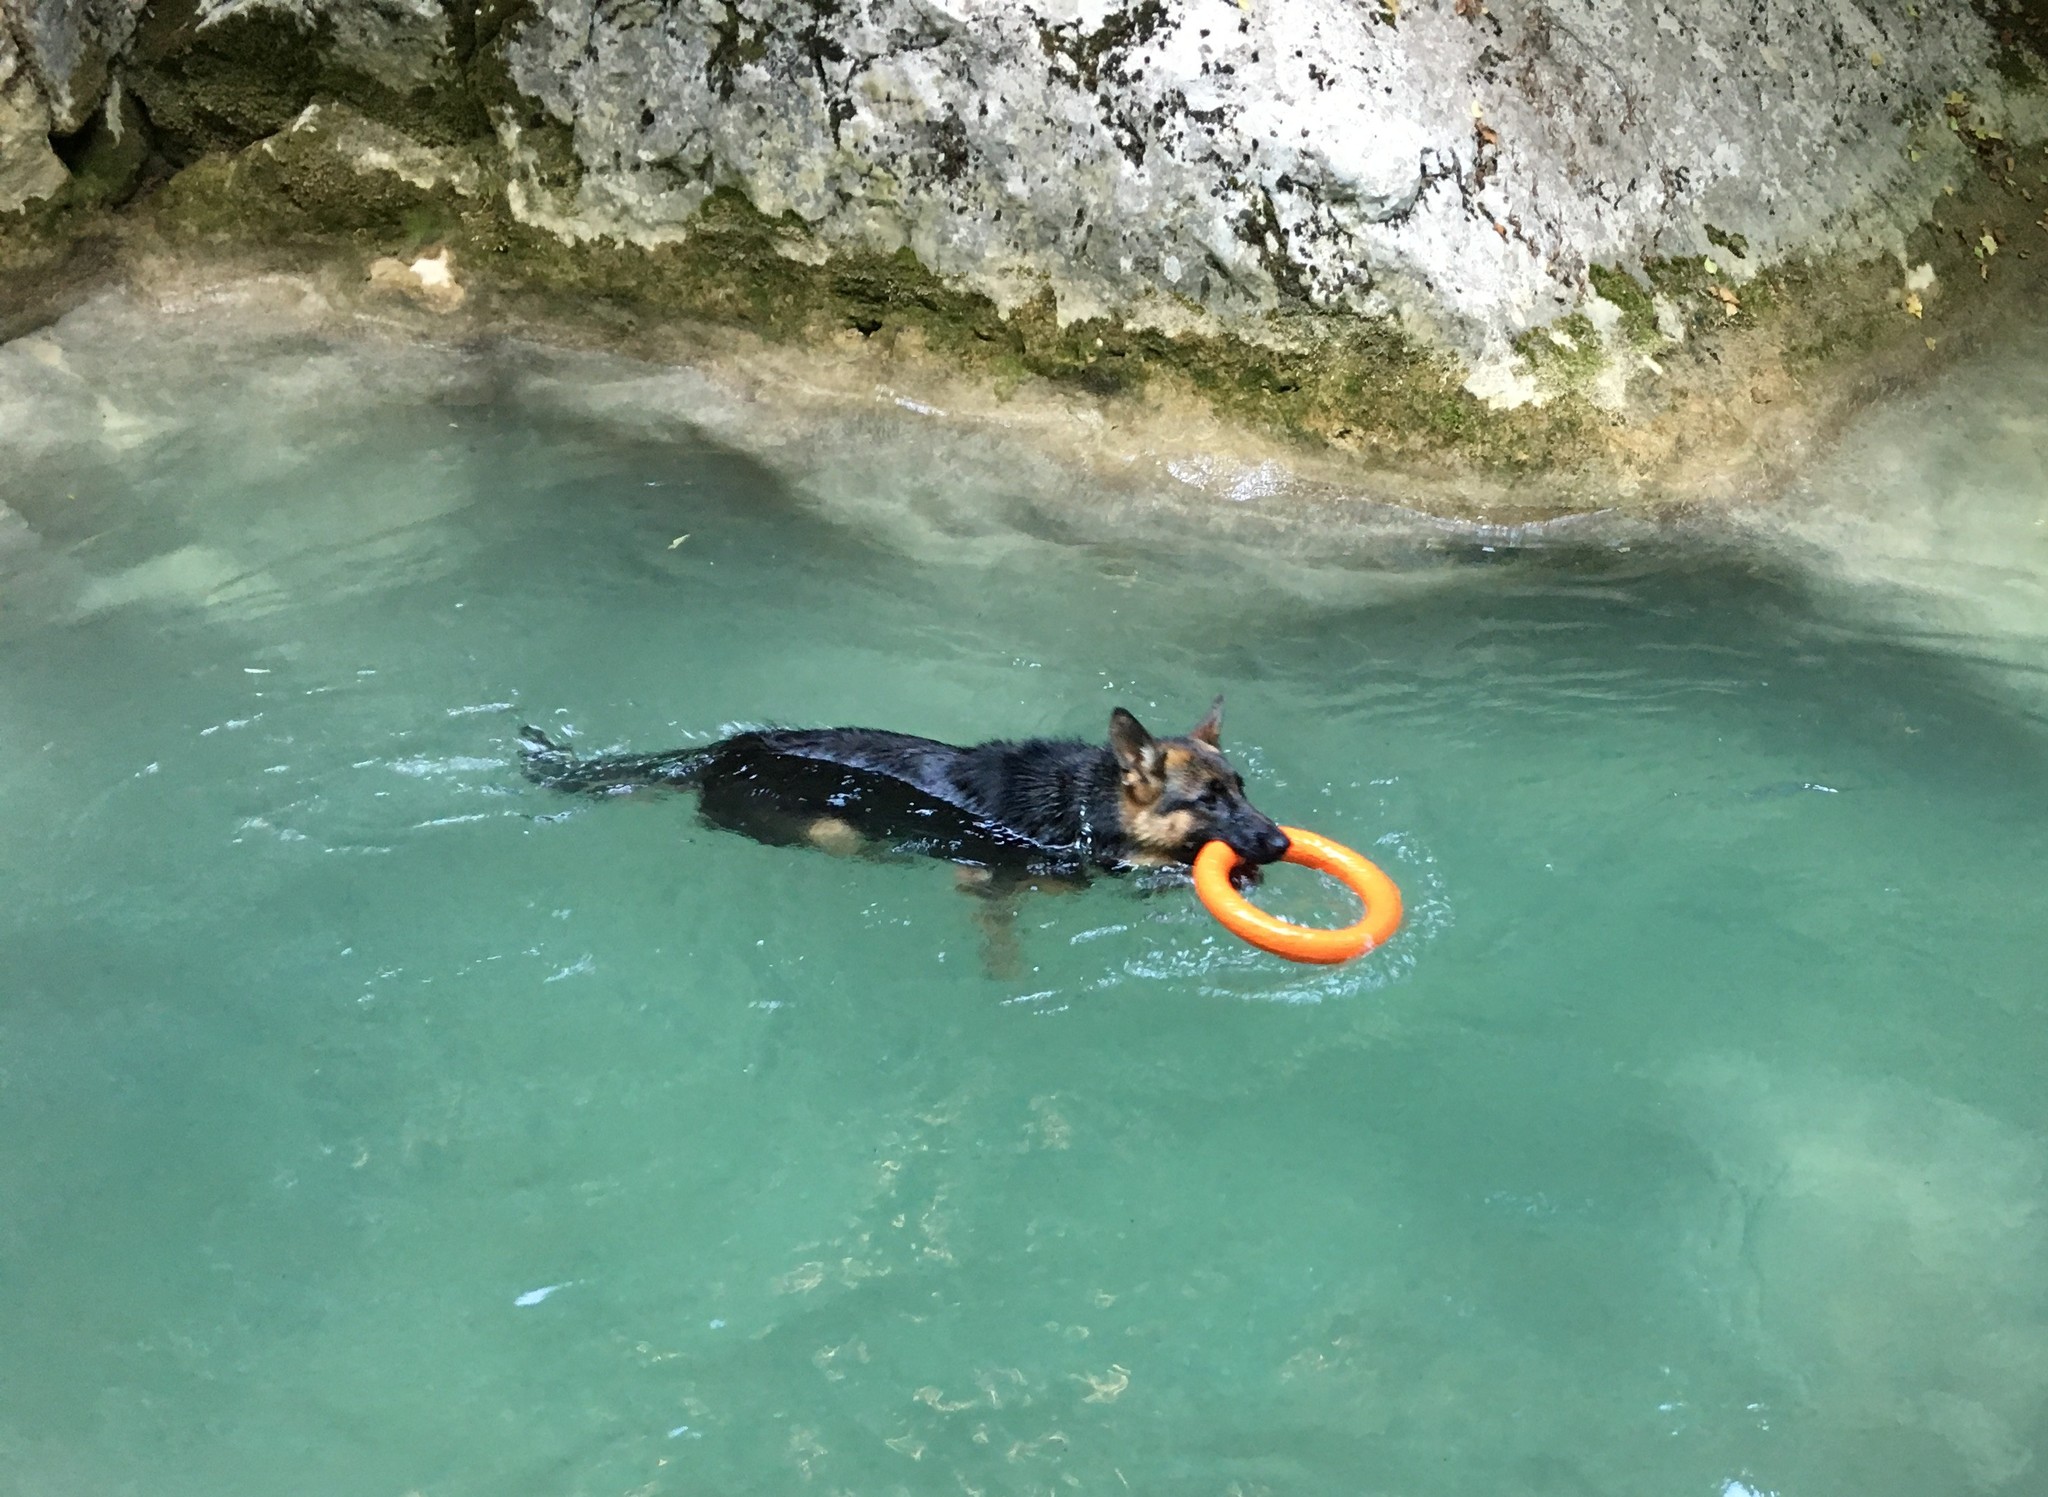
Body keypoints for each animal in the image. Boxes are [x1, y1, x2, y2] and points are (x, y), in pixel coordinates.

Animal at [516, 700, 1277, 966]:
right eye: (1208, 802)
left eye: (1242, 789)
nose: (1277, 843)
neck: (1087, 802)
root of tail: (726, 748)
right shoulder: (989, 880)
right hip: (833, 830)